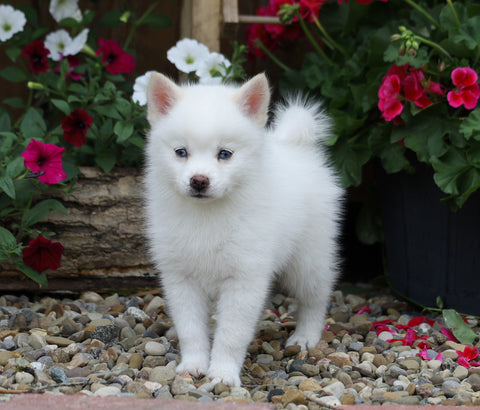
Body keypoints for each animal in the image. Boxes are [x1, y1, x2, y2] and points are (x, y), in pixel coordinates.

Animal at [144, 72, 344, 386]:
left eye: (225, 153)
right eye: (181, 152)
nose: (199, 180)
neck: (207, 216)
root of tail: (296, 147)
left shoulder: (243, 279)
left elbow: (231, 334)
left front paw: (223, 374)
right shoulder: (181, 279)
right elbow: (191, 330)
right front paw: (193, 365)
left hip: (308, 259)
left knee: (315, 297)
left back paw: (305, 336)